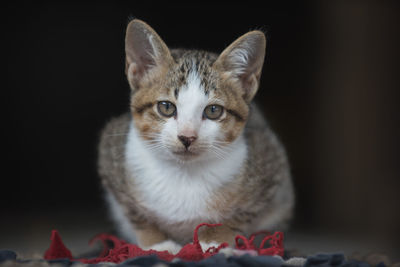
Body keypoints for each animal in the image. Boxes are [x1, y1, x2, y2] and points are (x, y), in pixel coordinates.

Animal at [98, 19, 296, 255]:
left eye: (213, 110)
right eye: (166, 107)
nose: (187, 137)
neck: (184, 173)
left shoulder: (270, 162)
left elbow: (240, 215)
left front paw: (214, 241)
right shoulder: (111, 156)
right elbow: (135, 214)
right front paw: (157, 243)